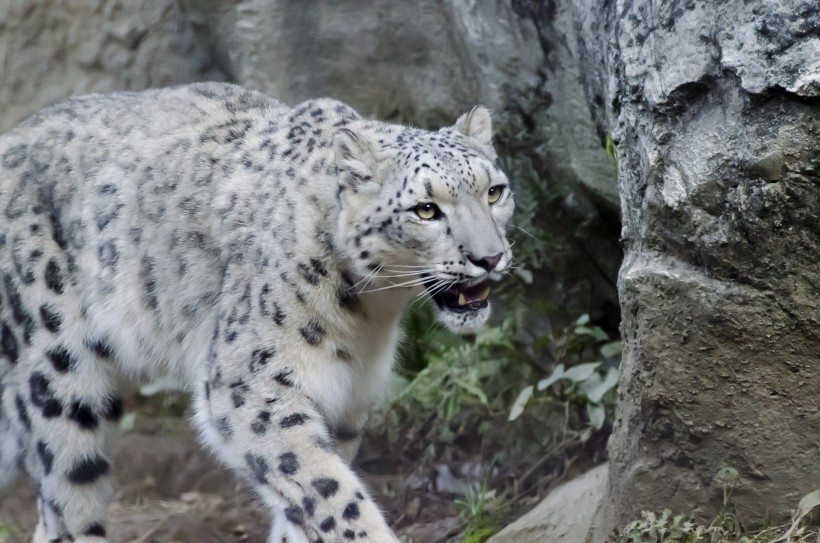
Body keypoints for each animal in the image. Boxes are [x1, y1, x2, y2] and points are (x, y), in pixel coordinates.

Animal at [0, 82, 512, 543]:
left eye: (494, 192)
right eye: (426, 209)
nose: (489, 257)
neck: (370, 316)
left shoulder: (346, 401)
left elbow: (306, 502)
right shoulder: (252, 389)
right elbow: (329, 490)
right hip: (61, 377)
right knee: (66, 500)